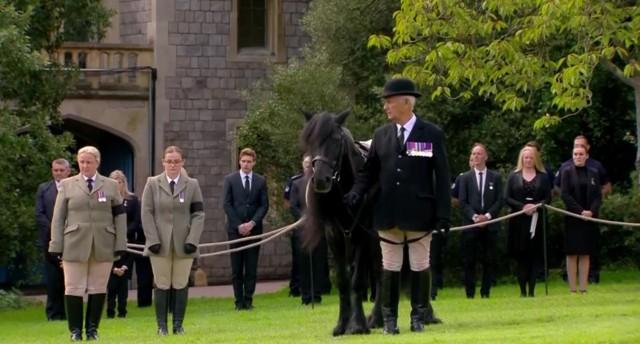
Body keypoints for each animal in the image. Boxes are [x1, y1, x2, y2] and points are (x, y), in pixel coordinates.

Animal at [298, 111, 382, 336]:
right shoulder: (334, 235)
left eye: (335, 140)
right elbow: (344, 280)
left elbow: (357, 280)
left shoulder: (363, 234)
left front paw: (357, 325)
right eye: (309, 140)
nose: (320, 180)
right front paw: (342, 324)